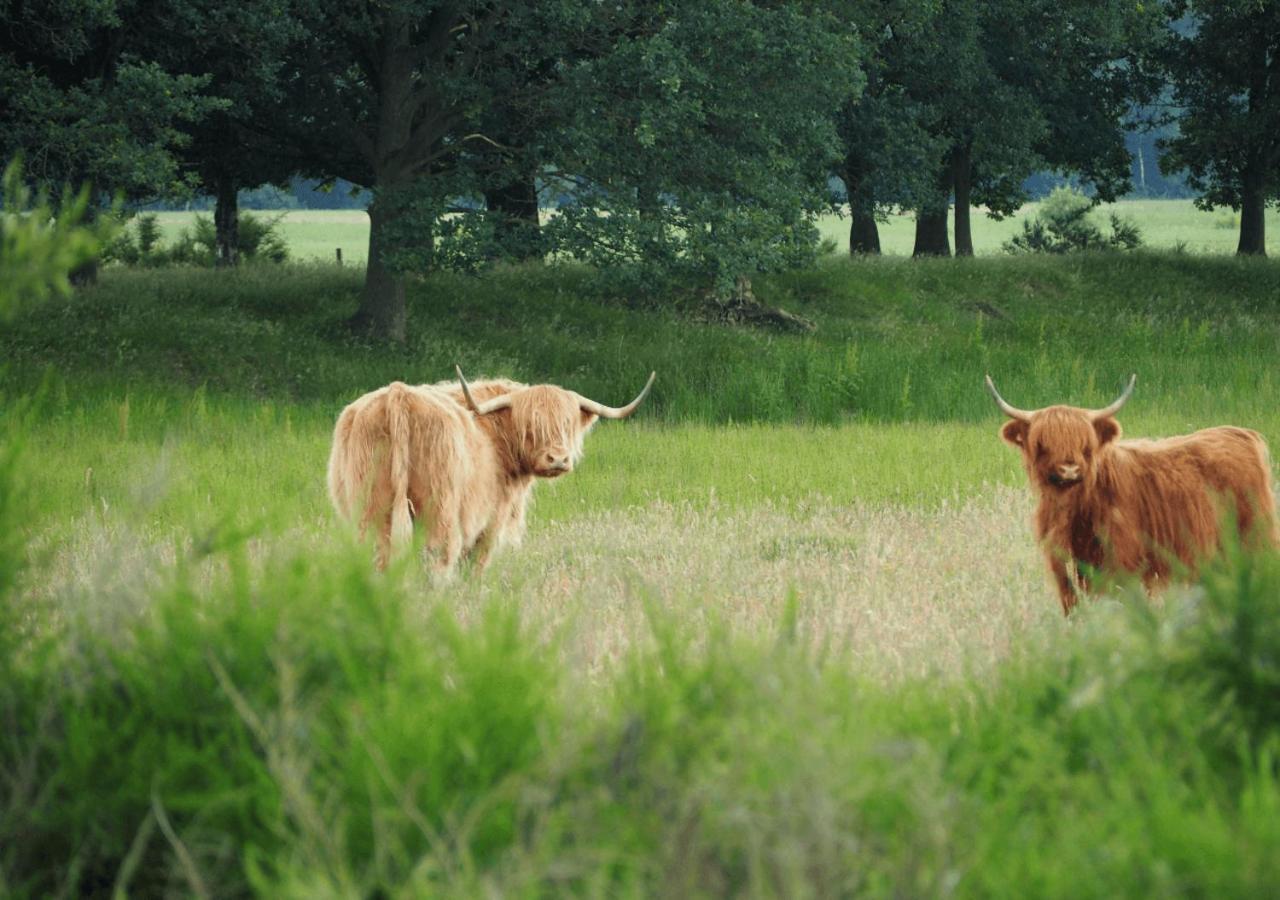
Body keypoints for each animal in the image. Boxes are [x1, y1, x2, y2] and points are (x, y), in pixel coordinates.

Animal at [330, 366, 655, 578]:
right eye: (531, 425)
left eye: (567, 423)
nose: (558, 459)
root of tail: (399, 395)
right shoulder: (491, 520)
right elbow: (476, 563)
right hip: (438, 510)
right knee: (437, 557)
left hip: (370, 507)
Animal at [988, 371, 1280, 611]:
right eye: (1042, 443)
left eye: (1086, 444)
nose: (1069, 470)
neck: (1075, 510)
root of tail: (1243, 434)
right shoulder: (1065, 567)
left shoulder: (1120, 563)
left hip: (1255, 540)